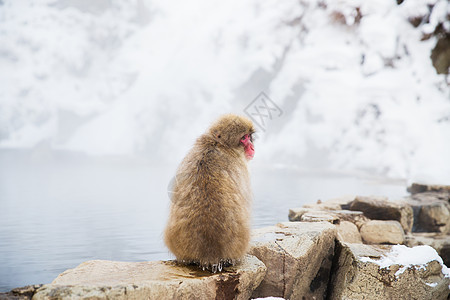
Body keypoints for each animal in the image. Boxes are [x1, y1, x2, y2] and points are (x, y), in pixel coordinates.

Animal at [164, 113, 255, 274]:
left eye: (249, 136)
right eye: (244, 138)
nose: (252, 146)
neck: (217, 144)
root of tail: (210, 254)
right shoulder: (241, 167)